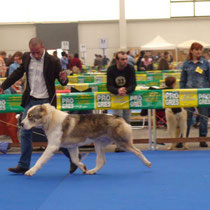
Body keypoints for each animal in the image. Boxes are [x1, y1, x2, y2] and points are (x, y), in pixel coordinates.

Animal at [21, 103, 151, 176]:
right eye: (27, 115)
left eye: (30, 116)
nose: (21, 124)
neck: (51, 119)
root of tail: (118, 117)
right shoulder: (72, 147)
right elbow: (75, 160)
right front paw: (83, 167)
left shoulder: (52, 146)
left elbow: (40, 160)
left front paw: (31, 171)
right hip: (99, 143)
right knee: (101, 161)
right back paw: (92, 171)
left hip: (121, 141)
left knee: (138, 151)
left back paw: (147, 163)